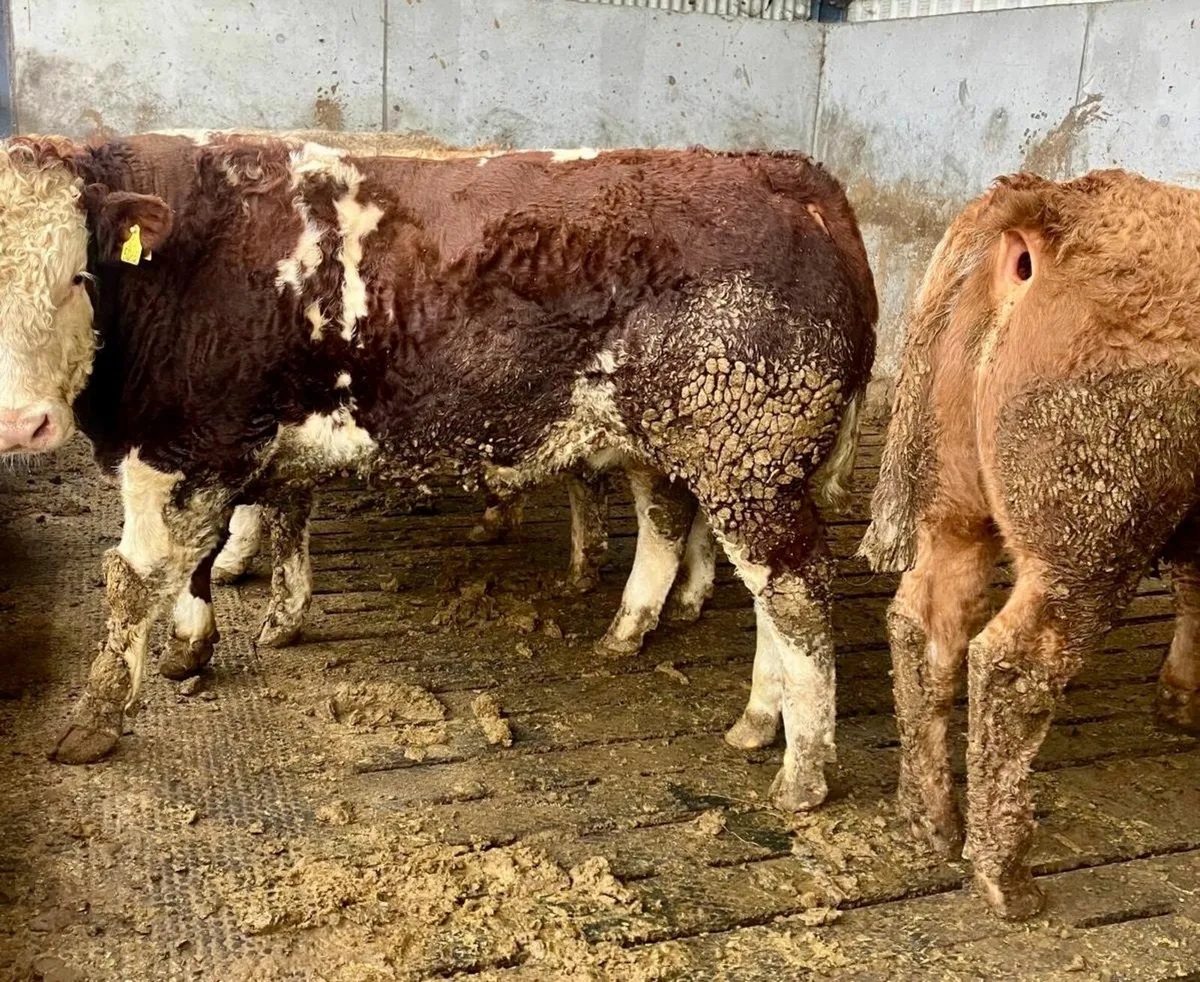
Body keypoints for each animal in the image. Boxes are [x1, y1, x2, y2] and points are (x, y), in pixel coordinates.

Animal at [0, 134, 875, 813]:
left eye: (76, 276)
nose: (20, 422)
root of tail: (781, 172)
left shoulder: (188, 445)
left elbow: (132, 581)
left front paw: (95, 720)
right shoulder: (211, 452)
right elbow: (207, 558)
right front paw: (202, 644)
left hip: (749, 457)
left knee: (794, 593)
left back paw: (802, 772)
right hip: (705, 456)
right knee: (720, 563)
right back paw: (724, 696)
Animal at [859, 170, 1200, 919]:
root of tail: (1056, 199)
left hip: (957, 504)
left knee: (925, 625)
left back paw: (931, 819)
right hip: (1091, 532)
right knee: (1011, 666)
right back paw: (1006, 878)